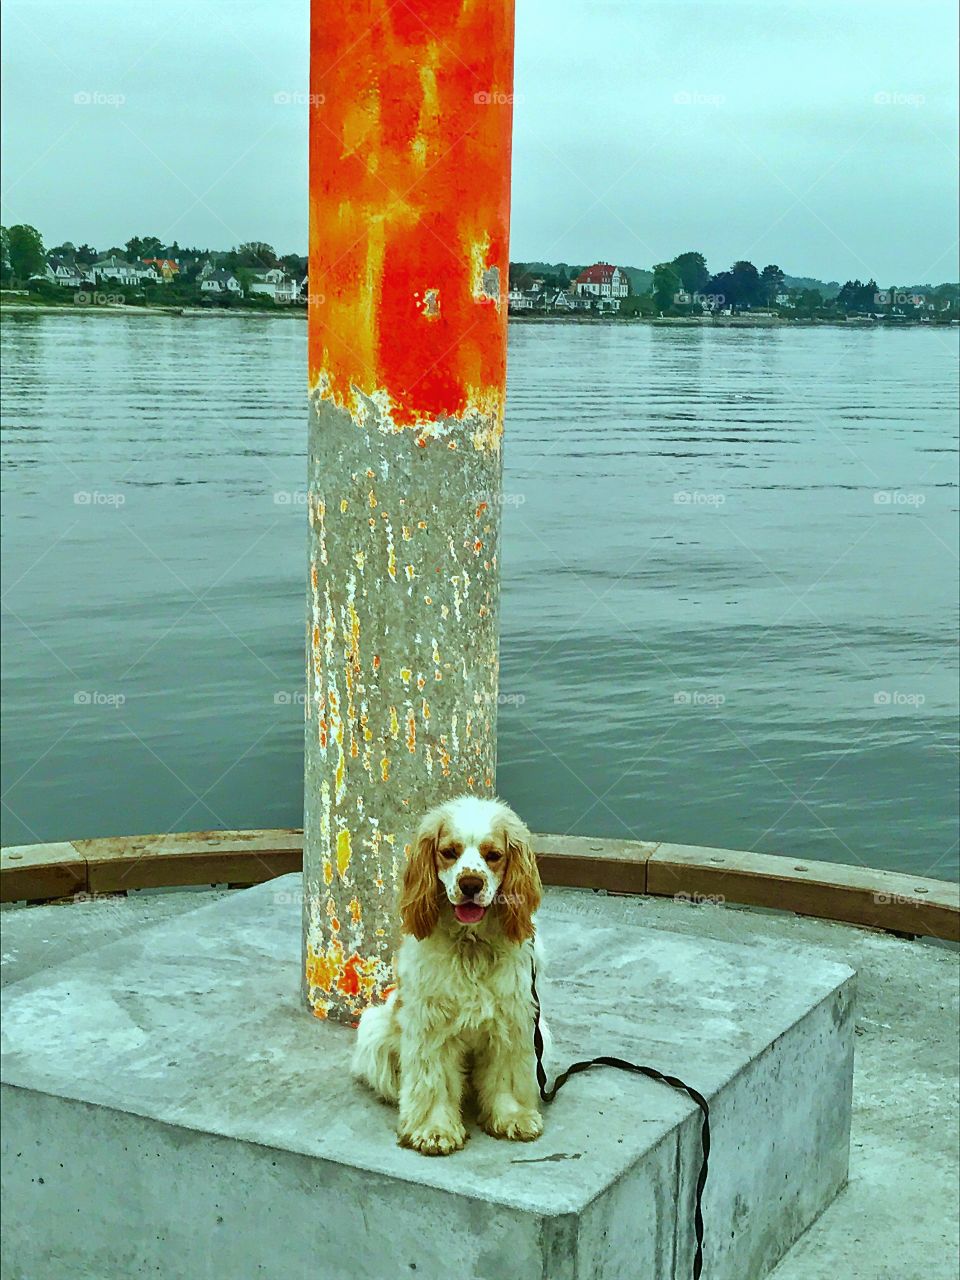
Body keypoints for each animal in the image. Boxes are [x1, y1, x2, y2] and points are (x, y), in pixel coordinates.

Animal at [353, 793, 547, 1157]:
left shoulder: (513, 1020)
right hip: (375, 1029)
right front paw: (433, 1129)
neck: (470, 945)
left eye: (493, 855)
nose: (470, 883)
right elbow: (434, 1081)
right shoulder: (431, 1026)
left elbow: (507, 1075)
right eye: (449, 852)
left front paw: (512, 1117)